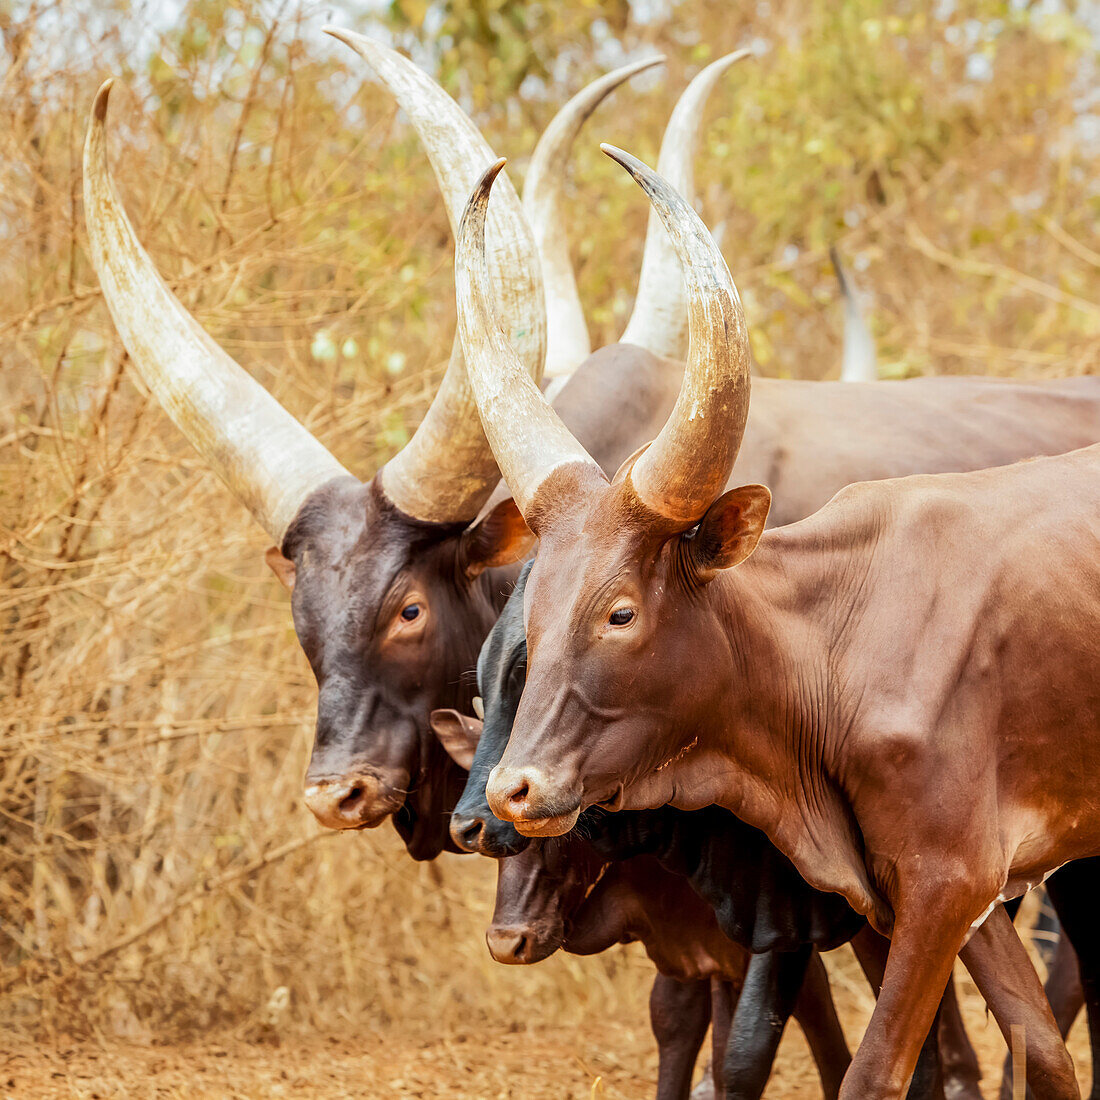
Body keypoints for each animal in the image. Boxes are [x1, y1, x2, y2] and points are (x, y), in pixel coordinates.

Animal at [451, 150, 1095, 1095]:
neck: (834, 650)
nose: (511, 793)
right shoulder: (946, 898)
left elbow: (875, 1069)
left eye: (620, 611)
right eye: (530, 613)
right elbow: (1041, 1049)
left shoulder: (948, 885)